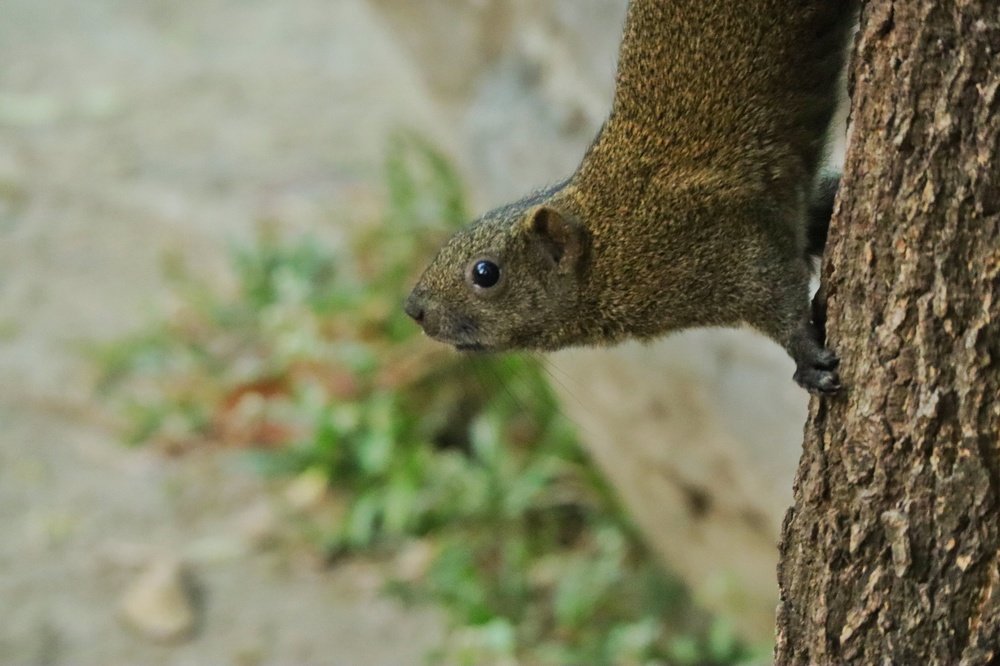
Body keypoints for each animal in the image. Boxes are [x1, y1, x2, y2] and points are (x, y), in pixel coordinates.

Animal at [405, 0, 855, 394]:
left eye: (485, 273)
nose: (413, 309)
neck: (615, 239)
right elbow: (815, 212)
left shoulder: (726, 237)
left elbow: (779, 292)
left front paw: (806, 359)